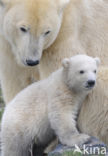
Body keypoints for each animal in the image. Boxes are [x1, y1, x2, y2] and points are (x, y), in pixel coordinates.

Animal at [0, 0, 107, 144]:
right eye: (23, 28)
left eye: (47, 32)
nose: (32, 61)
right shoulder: (8, 48)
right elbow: (16, 83)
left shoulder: (64, 35)